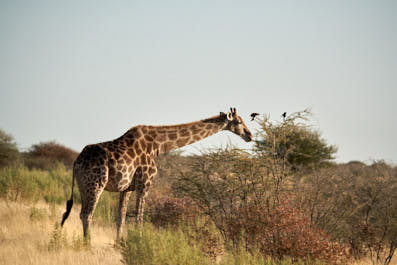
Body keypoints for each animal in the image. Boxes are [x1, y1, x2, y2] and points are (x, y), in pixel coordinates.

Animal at [60, 106, 252, 239]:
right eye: (238, 122)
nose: (250, 135)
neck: (158, 146)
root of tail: (76, 162)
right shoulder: (145, 184)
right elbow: (139, 220)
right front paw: (139, 243)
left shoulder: (126, 188)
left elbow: (120, 219)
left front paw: (118, 244)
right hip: (96, 183)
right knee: (87, 214)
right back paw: (88, 245)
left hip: (83, 186)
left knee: (81, 213)